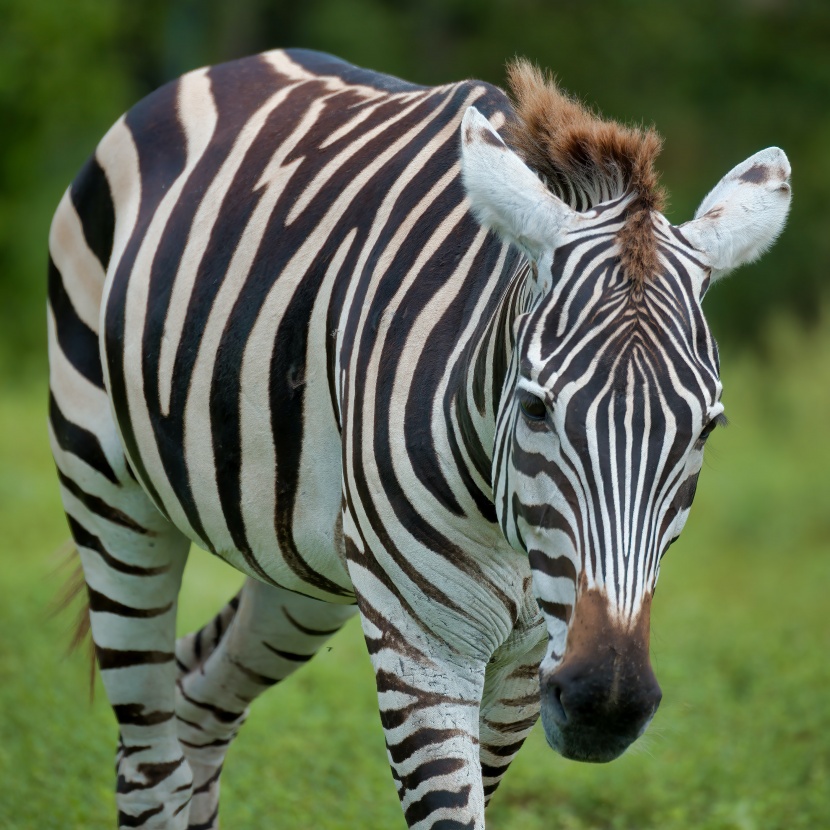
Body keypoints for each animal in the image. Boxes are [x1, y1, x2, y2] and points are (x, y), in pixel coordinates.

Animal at [50, 48, 792, 828]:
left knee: (198, 700)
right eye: (535, 409)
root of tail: (233, 65)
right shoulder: (426, 645)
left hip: (304, 562)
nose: (605, 704)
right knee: (150, 762)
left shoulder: (526, 661)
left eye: (706, 428)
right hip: (109, 494)